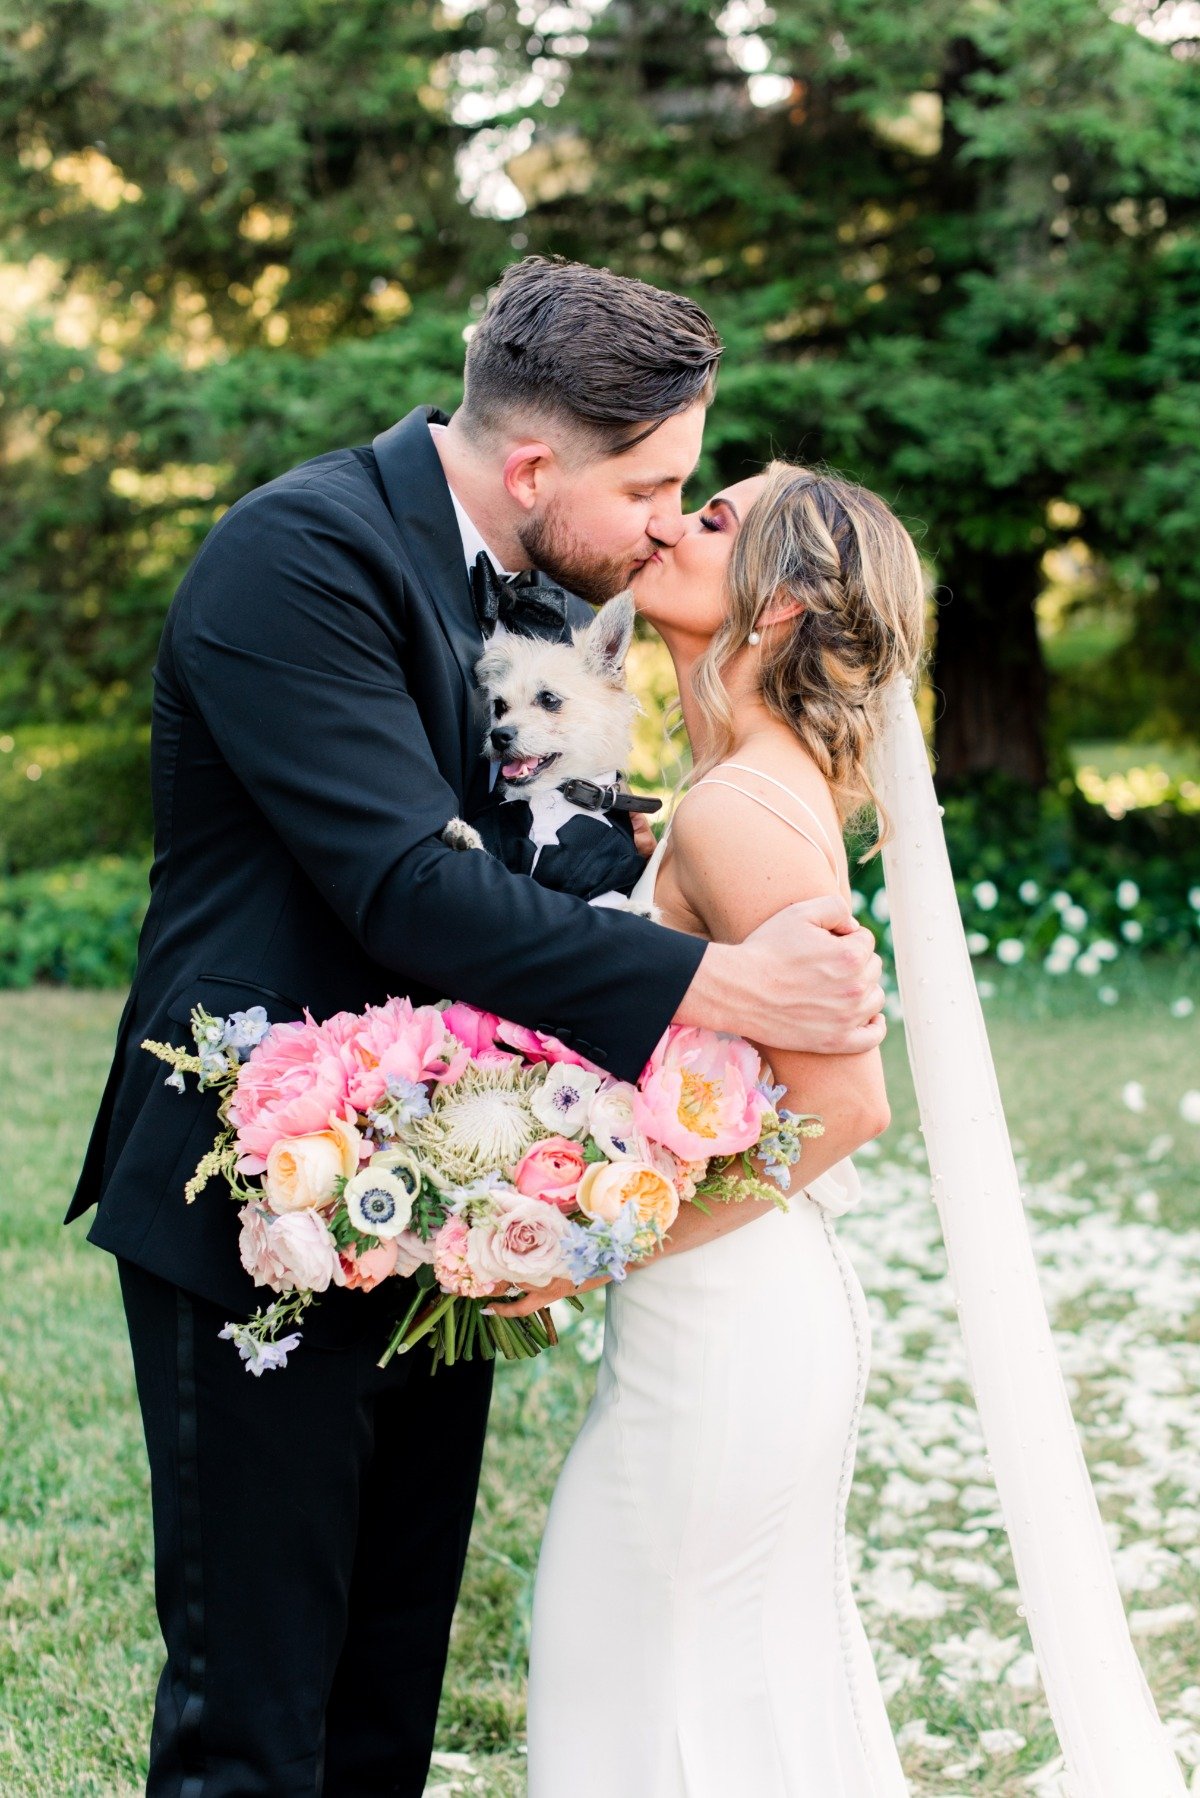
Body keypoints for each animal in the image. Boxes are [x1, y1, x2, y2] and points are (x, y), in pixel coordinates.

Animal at [446, 589, 662, 913]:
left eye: (548, 699)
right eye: (500, 707)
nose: (499, 736)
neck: (555, 796)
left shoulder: (606, 871)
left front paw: (639, 910)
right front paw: (467, 838)